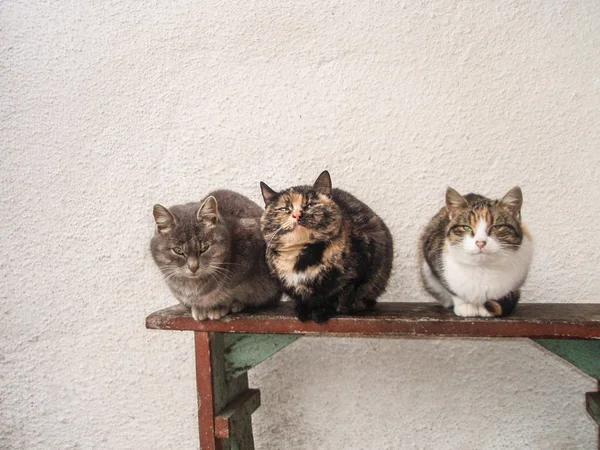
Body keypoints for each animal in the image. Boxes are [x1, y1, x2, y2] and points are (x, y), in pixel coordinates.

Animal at [150, 190, 282, 320]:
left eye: (204, 248)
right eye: (178, 250)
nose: (193, 267)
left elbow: (233, 293)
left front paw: (219, 307)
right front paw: (198, 308)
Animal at [258, 171, 394, 322]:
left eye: (310, 205)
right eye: (284, 209)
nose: (297, 214)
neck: (302, 255)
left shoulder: (364, 260)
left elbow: (338, 294)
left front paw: (322, 311)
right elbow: (302, 298)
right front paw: (303, 310)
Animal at [420, 186, 532, 316]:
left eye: (496, 227)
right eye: (466, 227)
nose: (480, 242)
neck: (482, 269)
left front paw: (487, 308)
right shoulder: (431, 255)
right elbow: (451, 289)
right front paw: (465, 306)